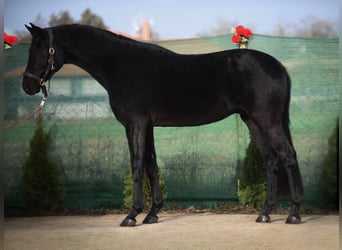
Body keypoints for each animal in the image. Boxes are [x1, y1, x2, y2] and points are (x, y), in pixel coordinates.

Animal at [22, 23, 304, 227]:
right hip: (253, 121)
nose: (28, 85)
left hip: (267, 120)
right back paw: (265, 213)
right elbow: (151, 165)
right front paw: (152, 214)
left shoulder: (135, 124)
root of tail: (278, 67)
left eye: (40, 50)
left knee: (288, 156)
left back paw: (294, 214)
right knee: (271, 161)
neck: (121, 65)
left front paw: (131, 216)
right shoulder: (147, 126)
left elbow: (137, 165)